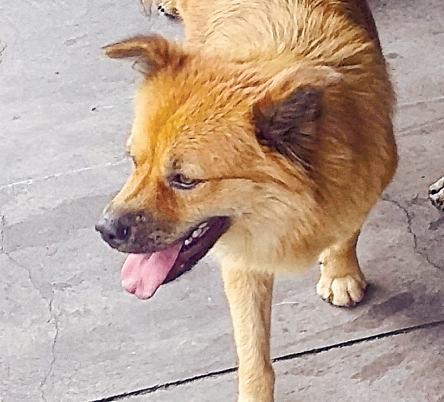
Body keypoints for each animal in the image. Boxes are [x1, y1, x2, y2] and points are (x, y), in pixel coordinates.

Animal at [96, 1, 398, 400]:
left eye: (185, 180)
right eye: (134, 160)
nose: (104, 230)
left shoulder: (369, 173)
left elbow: (349, 227)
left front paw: (339, 270)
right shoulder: (243, 259)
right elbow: (254, 353)